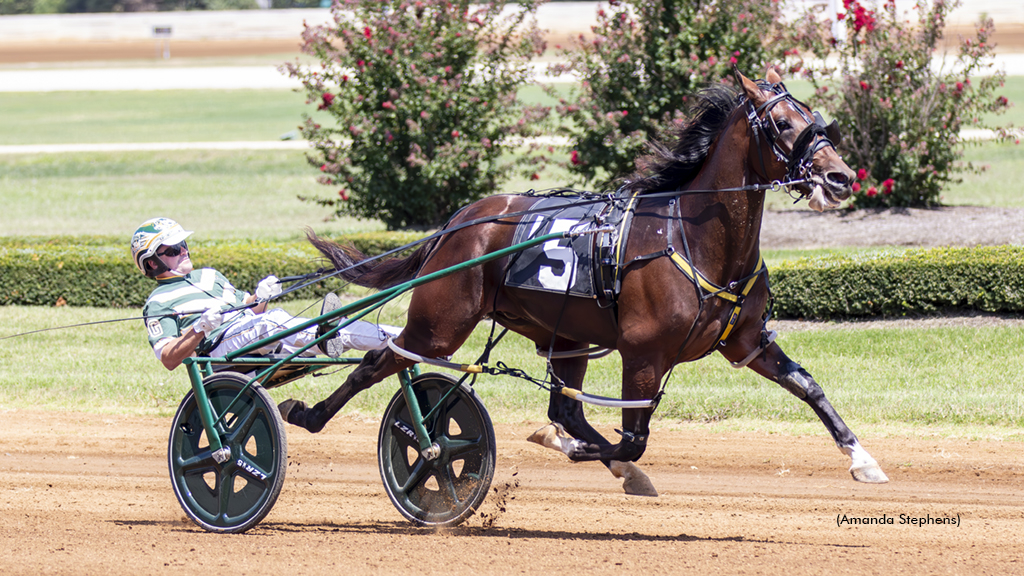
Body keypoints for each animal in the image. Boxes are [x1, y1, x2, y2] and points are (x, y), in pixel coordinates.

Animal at [278, 66, 888, 487]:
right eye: (783, 124)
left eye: (817, 120)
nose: (839, 176)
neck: (692, 237)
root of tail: (461, 219)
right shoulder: (643, 352)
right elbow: (633, 439)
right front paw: (569, 448)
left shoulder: (746, 343)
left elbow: (808, 386)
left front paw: (863, 460)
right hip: (440, 322)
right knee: (381, 360)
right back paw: (306, 413)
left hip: (563, 334)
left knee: (563, 405)